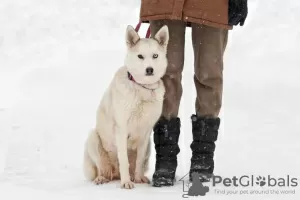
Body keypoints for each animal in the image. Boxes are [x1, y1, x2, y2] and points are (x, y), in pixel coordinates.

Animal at [83, 25, 170, 189]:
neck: (141, 88)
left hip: (149, 144)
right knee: (102, 168)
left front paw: (138, 179)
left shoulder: (145, 133)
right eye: (140, 56)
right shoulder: (122, 129)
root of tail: (114, 173)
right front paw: (126, 183)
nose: (149, 69)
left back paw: (138, 177)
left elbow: (138, 161)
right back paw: (102, 178)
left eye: (155, 56)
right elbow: (124, 160)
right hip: (93, 139)